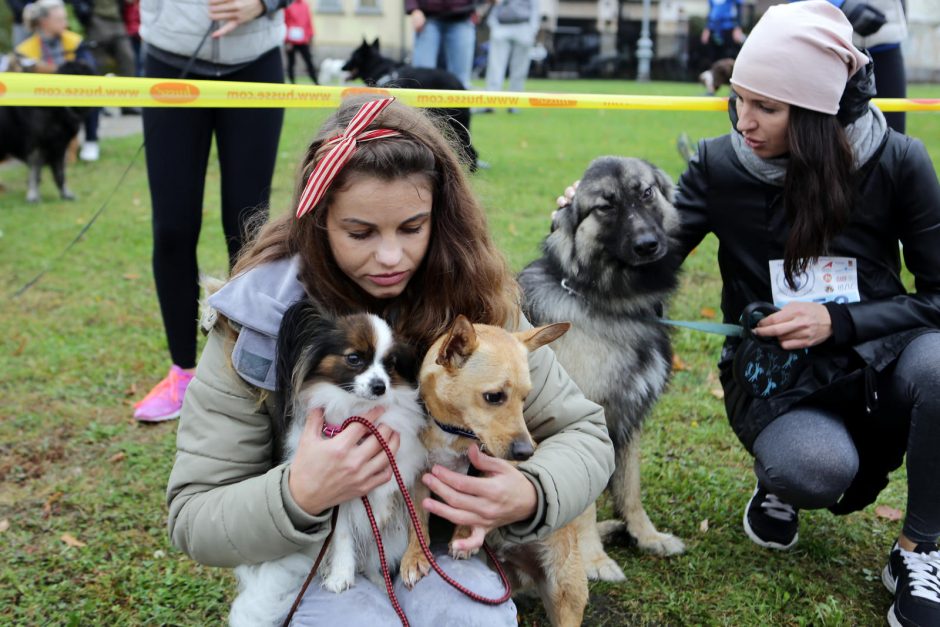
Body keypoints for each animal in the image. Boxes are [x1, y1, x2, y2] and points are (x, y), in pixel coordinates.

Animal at [0, 59, 94, 201]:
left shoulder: (59, 147)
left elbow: (60, 174)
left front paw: (65, 194)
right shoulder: (36, 147)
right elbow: (35, 174)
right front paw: (33, 196)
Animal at [229, 302, 428, 624]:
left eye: (391, 364)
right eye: (354, 358)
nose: (380, 387)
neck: (358, 412)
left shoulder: (399, 479)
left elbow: (396, 523)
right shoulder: (338, 495)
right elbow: (343, 535)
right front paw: (340, 576)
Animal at [400, 316, 592, 627]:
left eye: (525, 398)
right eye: (494, 397)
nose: (527, 452)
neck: (453, 431)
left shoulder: (494, 471)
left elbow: (476, 505)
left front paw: (464, 536)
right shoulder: (418, 477)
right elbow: (417, 519)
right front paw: (415, 556)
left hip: (564, 592)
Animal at [516, 156, 688, 580]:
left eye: (646, 193)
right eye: (605, 207)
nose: (647, 245)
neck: (607, 304)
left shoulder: (628, 418)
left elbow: (630, 487)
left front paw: (647, 536)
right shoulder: (583, 421)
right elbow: (582, 504)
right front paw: (593, 560)